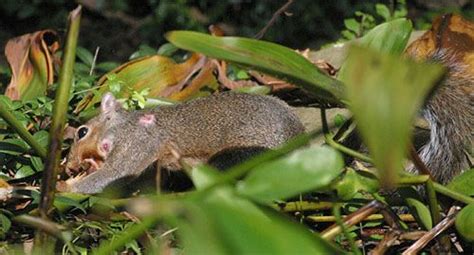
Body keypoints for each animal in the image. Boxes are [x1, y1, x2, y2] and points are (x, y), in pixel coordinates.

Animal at [58, 92, 304, 193]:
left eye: (82, 132)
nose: (68, 167)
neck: (123, 127)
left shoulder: (138, 143)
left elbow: (116, 173)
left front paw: (63, 188)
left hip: (242, 156)